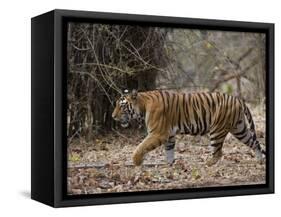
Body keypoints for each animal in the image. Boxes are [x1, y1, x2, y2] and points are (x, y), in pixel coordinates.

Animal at [110, 89, 264, 166]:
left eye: (122, 106)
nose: (112, 116)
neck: (142, 106)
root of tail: (237, 99)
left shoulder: (158, 133)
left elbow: (141, 146)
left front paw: (136, 162)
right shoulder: (169, 135)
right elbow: (169, 151)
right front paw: (169, 166)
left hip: (217, 130)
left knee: (218, 153)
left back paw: (207, 164)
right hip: (239, 129)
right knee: (255, 143)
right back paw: (260, 160)